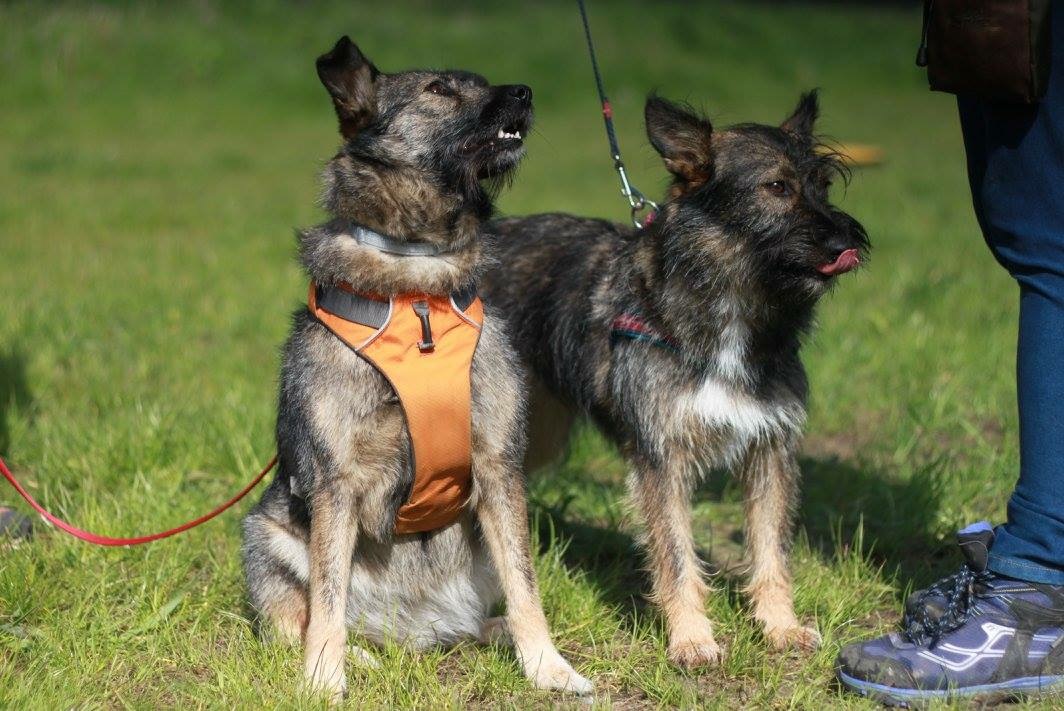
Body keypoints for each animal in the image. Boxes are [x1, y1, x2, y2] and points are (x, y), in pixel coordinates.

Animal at [241, 36, 591, 700]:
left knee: (487, 615)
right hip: (263, 533)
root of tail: (413, 633)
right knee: (301, 619)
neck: (418, 288)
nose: (525, 91)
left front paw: (549, 667)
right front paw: (323, 681)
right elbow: (327, 600)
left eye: (480, 80)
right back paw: (355, 658)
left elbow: (527, 586)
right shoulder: (335, 482)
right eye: (439, 90)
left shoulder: (500, 468)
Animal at [482, 92, 868, 667]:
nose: (851, 238)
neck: (731, 313)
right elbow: (676, 556)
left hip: (538, 431)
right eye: (777, 186)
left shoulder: (770, 448)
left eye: (822, 183)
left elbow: (772, 551)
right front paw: (691, 638)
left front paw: (780, 627)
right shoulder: (660, 459)